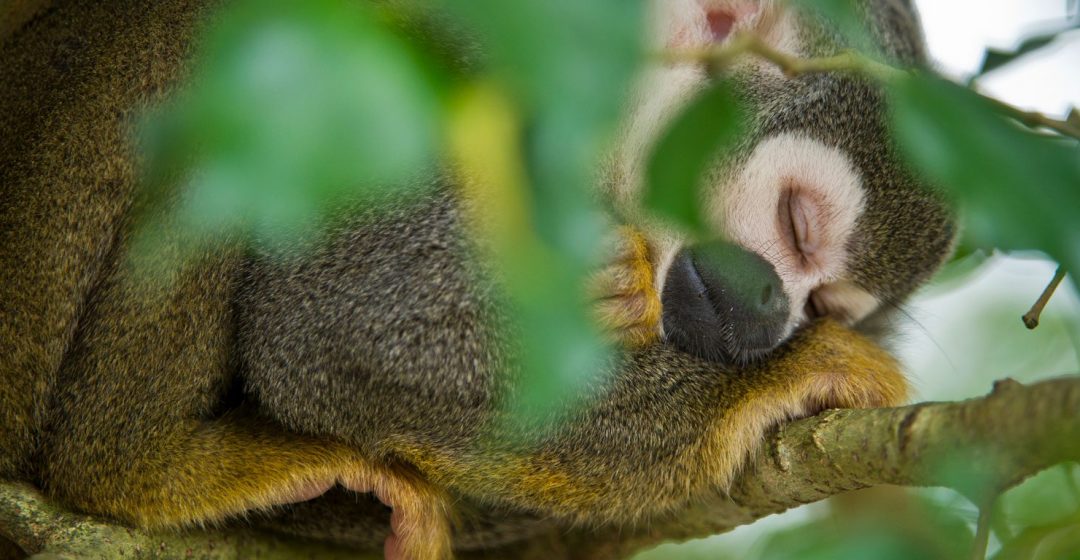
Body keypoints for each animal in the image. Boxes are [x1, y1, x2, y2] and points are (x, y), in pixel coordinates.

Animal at [4, 1, 954, 560]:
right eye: (796, 224)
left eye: (827, 301)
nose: (770, 315)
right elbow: (334, 329)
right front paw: (791, 374)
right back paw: (136, 462)